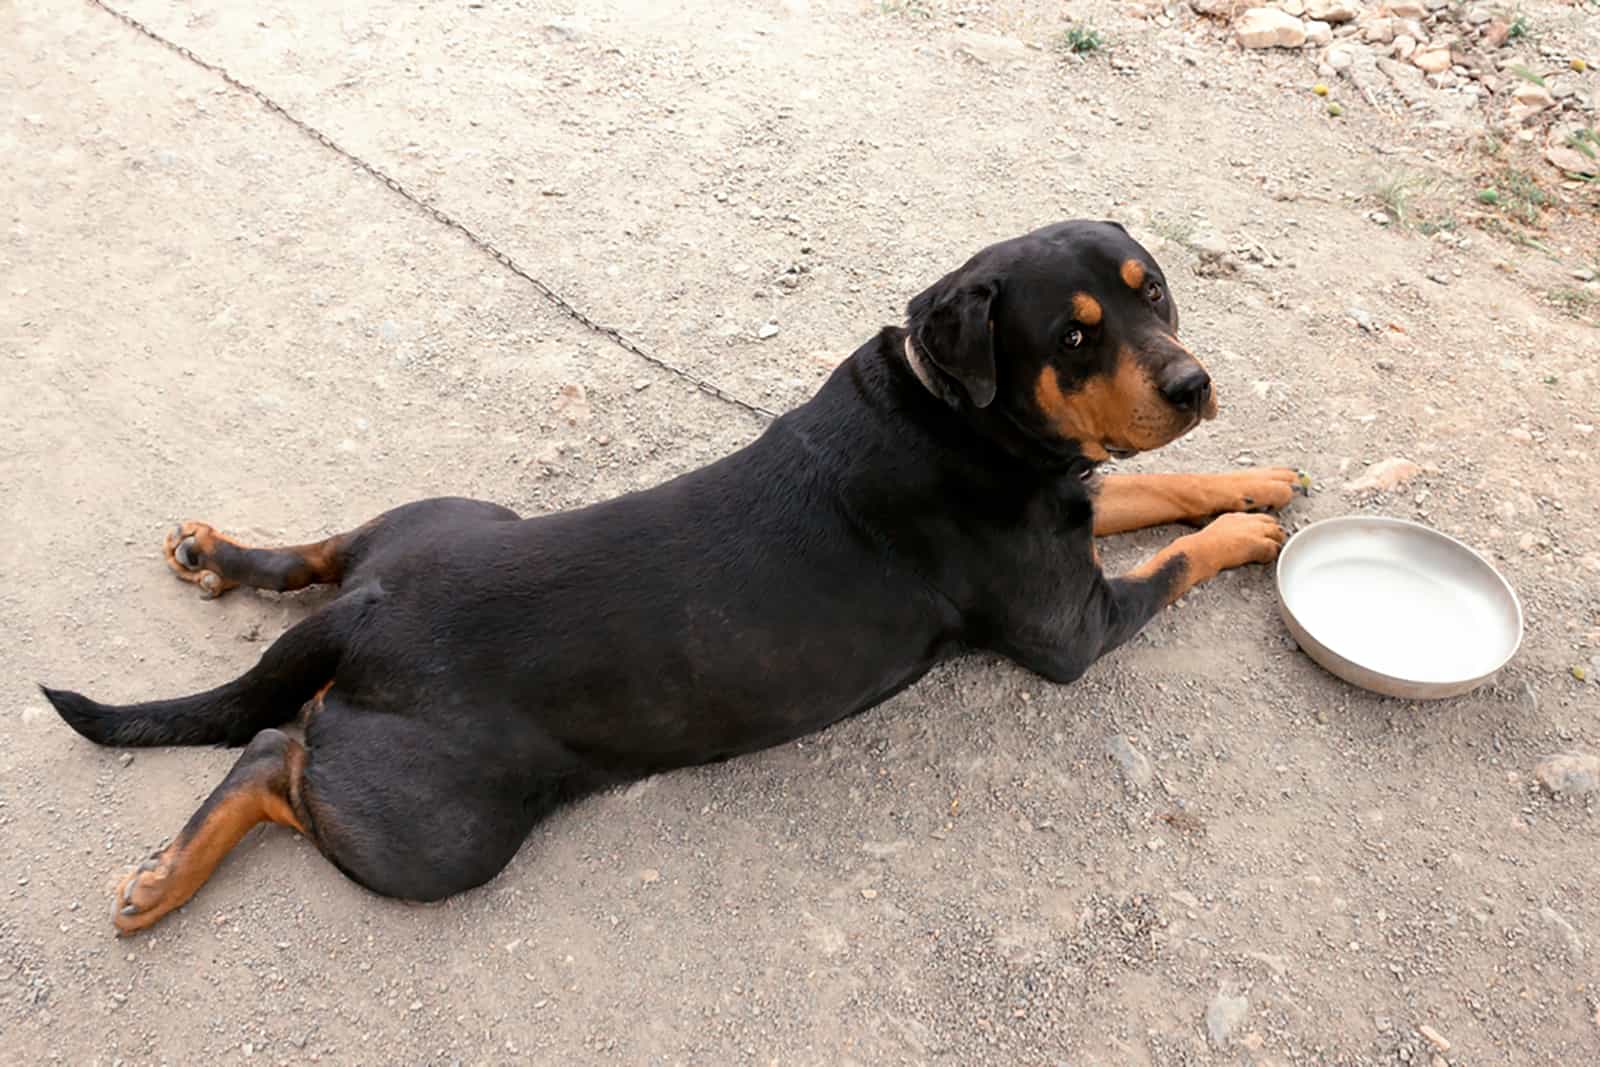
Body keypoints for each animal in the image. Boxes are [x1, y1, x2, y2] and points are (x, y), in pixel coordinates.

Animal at [43, 219, 1299, 934]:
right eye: (1076, 337)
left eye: (1153, 291)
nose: (1190, 383)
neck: (965, 415)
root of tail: (362, 621)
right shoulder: (1072, 623)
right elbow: (1178, 551)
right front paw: (1255, 530)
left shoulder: (1072, 506)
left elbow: (1155, 490)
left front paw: (1259, 474)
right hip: (437, 831)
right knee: (272, 754)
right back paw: (162, 882)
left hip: (436, 524)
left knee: (315, 572)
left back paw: (214, 552)